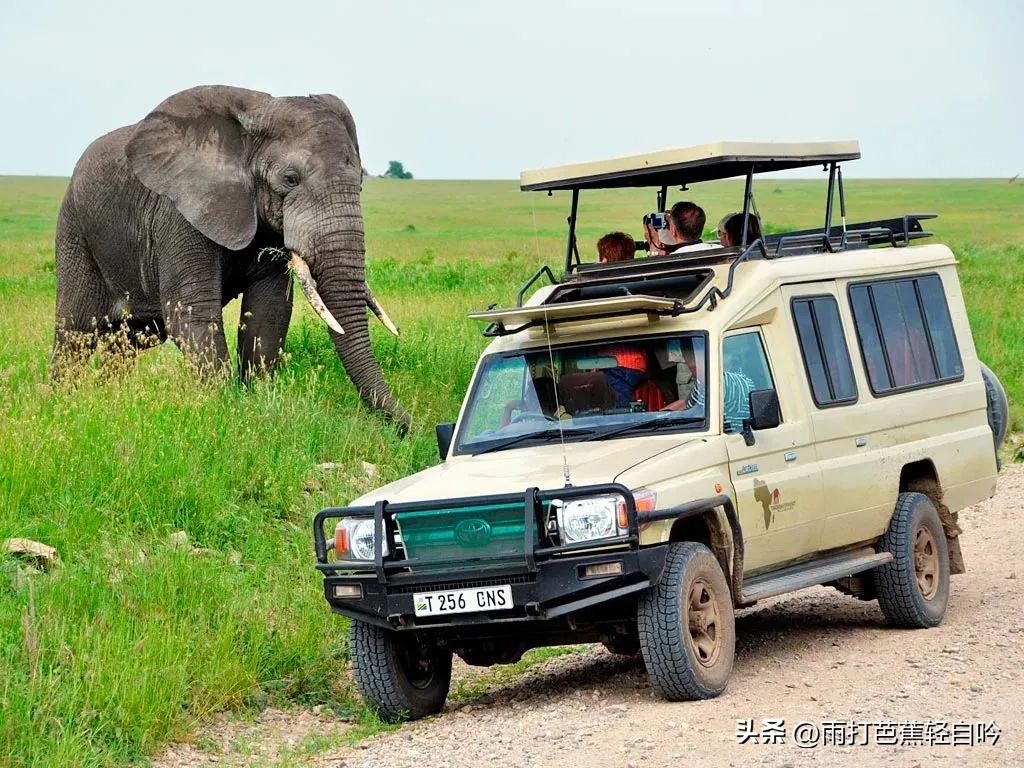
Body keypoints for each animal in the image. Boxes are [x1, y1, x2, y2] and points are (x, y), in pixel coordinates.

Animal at [54, 87, 409, 430]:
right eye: (290, 179)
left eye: (360, 182)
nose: (408, 426)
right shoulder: (179, 212)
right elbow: (193, 314)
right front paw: (225, 408)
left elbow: (269, 315)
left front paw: (257, 400)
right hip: (75, 229)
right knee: (75, 332)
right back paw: (64, 402)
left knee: (127, 342)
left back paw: (109, 397)